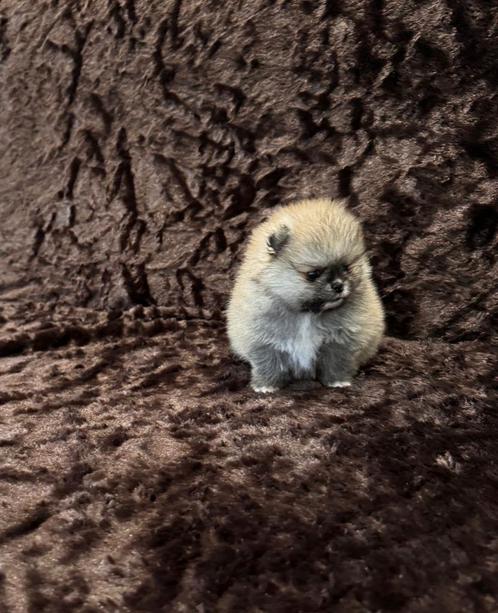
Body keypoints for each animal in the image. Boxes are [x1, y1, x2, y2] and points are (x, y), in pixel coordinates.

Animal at [226, 198, 386, 394]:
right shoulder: (263, 340)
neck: (306, 314)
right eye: (313, 274)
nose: (339, 285)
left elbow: (337, 362)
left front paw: (338, 382)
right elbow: (269, 364)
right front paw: (266, 386)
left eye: (346, 267)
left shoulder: (340, 340)